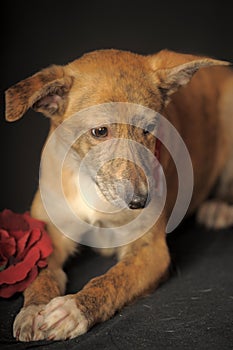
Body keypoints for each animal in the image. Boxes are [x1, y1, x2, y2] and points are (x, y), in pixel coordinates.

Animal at [4, 47, 233, 340]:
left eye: (149, 129)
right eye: (100, 131)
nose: (141, 202)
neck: (94, 189)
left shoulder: (152, 251)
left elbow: (114, 280)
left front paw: (74, 308)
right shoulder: (48, 236)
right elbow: (40, 273)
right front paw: (33, 309)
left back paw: (220, 206)